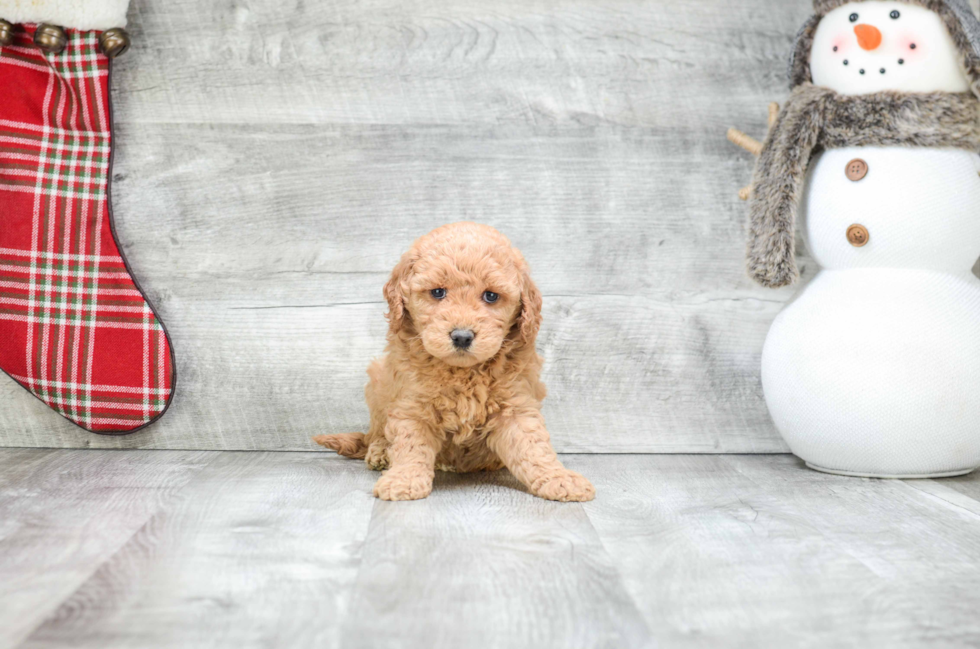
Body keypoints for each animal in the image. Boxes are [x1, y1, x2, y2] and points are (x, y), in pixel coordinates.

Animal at [314, 221, 592, 502]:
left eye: (491, 296)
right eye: (438, 292)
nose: (462, 336)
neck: (463, 372)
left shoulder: (515, 404)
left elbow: (533, 446)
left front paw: (559, 478)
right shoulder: (412, 404)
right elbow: (410, 444)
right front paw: (403, 480)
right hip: (378, 381)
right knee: (377, 431)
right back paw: (380, 451)